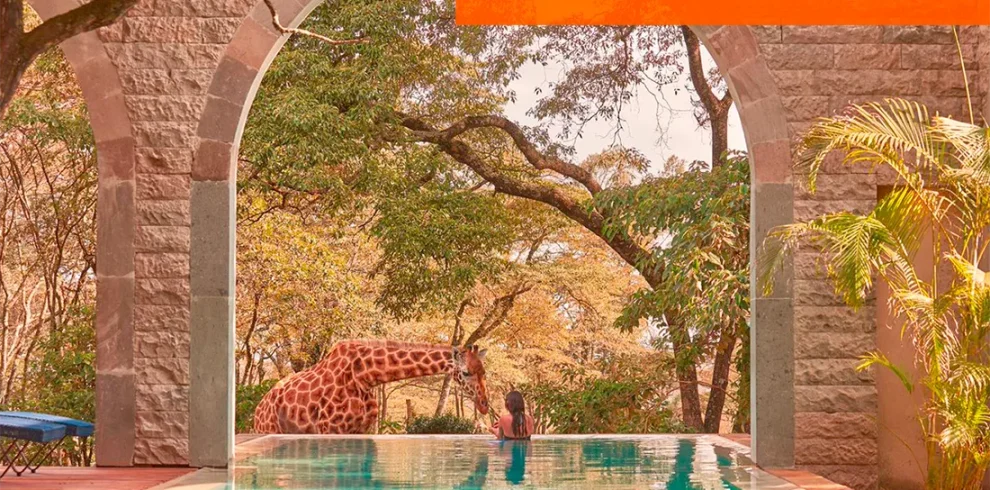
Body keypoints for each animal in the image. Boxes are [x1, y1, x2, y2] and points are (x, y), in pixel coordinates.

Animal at [252, 340, 490, 434]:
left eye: (484, 371)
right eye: (465, 373)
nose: (485, 405)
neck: (366, 376)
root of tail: (258, 409)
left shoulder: (360, 429)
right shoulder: (330, 429)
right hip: (269, 429)